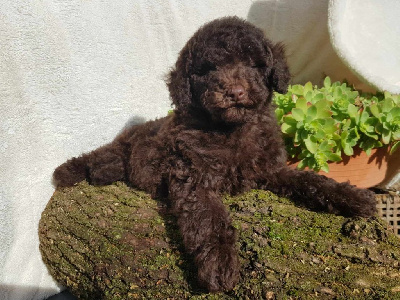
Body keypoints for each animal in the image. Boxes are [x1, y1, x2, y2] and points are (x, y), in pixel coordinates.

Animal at [54, 17, 378, 292]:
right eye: (209, 69)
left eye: (254, 64)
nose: (235, 91)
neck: (231, 129)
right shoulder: (192, 178)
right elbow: (209, 221)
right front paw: (220, 266)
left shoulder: (272, 169)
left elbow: (310, 181)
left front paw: (352, 197)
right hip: (124, 145)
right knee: (101, 154)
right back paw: (72, 171)